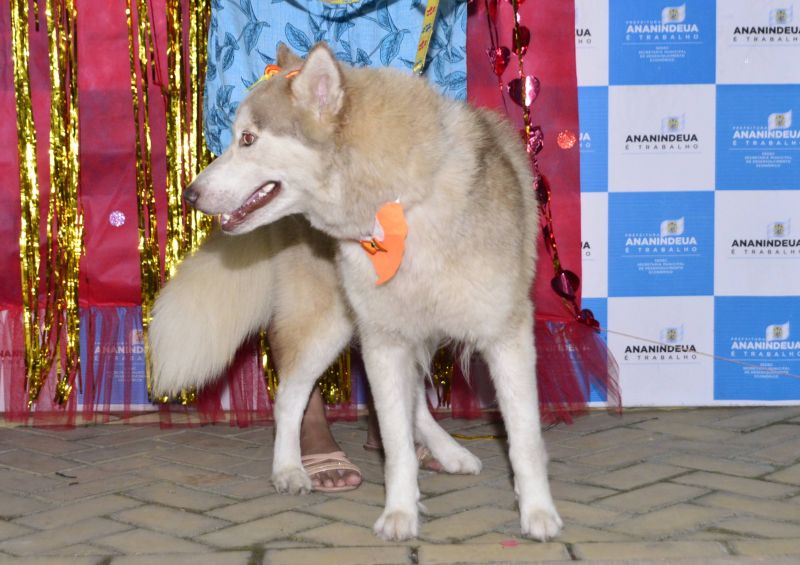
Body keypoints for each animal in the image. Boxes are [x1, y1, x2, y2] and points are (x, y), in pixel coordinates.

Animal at [156, 41, 564, 540]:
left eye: (248, 139)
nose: (190, 195)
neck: (399, 206)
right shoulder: (383, 339)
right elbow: (395, 445)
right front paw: (400, 513)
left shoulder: (504, 334)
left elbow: (523, 438)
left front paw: (538, 512)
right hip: (327, 327)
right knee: (289, 399)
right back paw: (290, 469)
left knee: (413, 402)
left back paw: (450, 452)